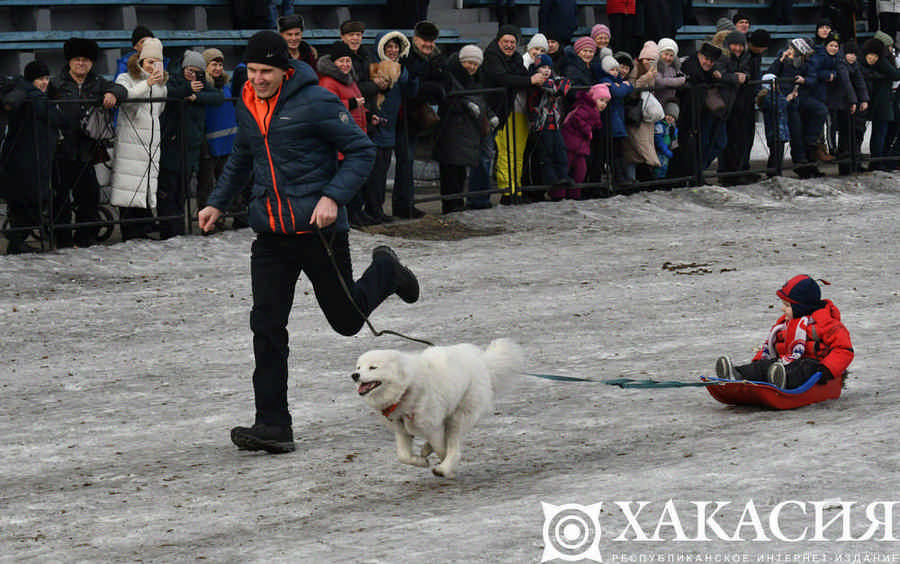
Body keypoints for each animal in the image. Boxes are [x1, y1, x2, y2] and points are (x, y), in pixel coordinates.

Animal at [350, 340, 524, 476]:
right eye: (358, 367)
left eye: (373, 367)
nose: (354, 375)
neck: (406, 388)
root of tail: (482, 361)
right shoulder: (402, 429)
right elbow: (403, 455)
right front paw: (420, 461)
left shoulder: (432, 427)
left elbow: (442, 449)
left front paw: (445, 467)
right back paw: (427, 451)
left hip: (459, 416)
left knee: (453, 445)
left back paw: (444, 468)